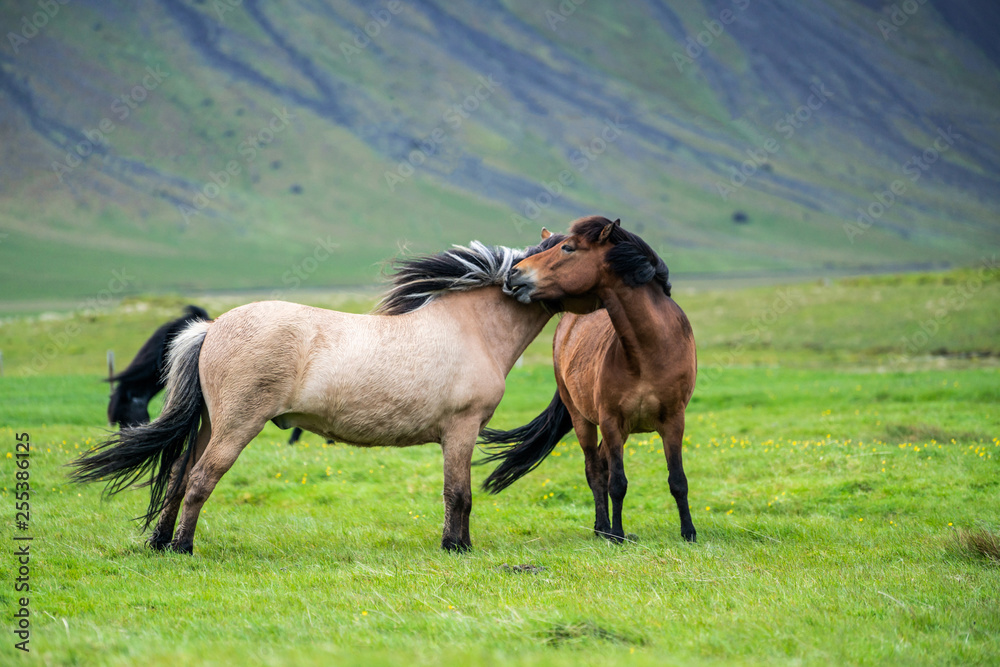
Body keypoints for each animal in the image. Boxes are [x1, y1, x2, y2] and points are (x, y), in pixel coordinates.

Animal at [72, 239, 564, 552]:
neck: (472, 328)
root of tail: (211, 329)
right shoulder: (461, 430)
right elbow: (458, 493)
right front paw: (456, 547)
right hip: (236, 426)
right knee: (200, 479)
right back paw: (182, 548)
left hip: (211, 424)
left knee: (178, 475)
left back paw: (159, 543)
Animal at [480, 218, 700, 544]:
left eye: (568, 248)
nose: (514, 273)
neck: (648, 353)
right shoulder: (610, 421)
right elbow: (616, 482)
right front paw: (617, 534)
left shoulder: (674, 420)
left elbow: (678, 480)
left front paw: (689, 532)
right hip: (584, 420)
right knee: (595, 470)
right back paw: (602, 529)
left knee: (602, 465)